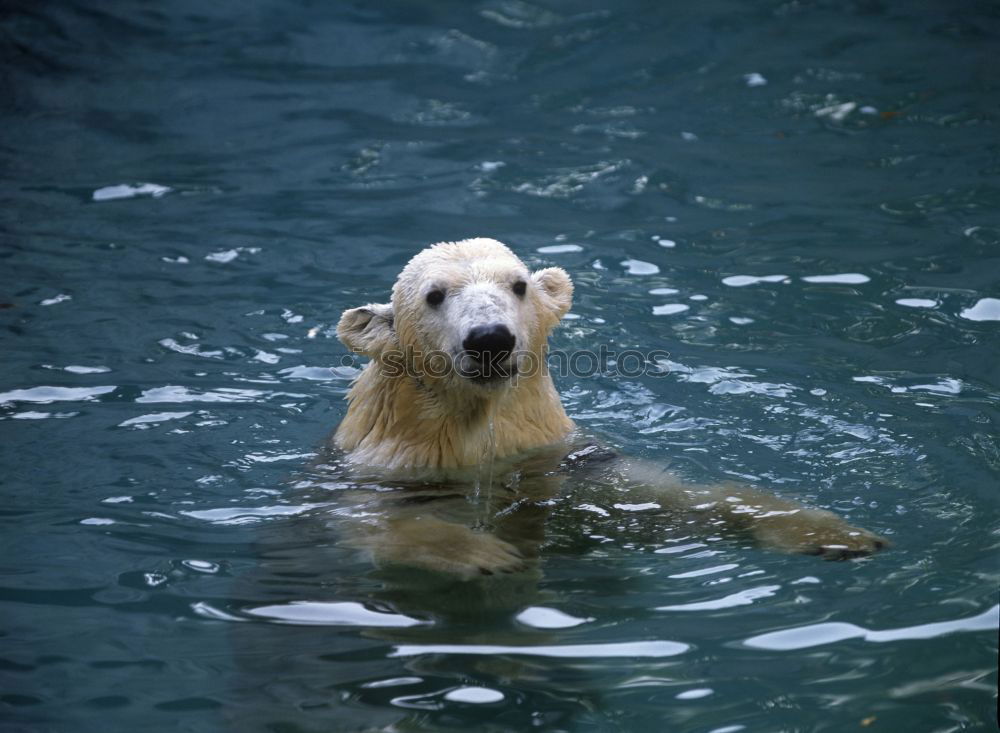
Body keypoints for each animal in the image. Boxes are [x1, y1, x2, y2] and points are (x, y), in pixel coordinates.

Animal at [332, 236, 888, 576]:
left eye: (519, 285)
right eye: (434, 295)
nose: (490, 338)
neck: (480, 436)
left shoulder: (562, 460)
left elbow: (671, 502)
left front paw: (835, 534)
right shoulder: (388, 472)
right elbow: (373, 523)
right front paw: (486, 552)